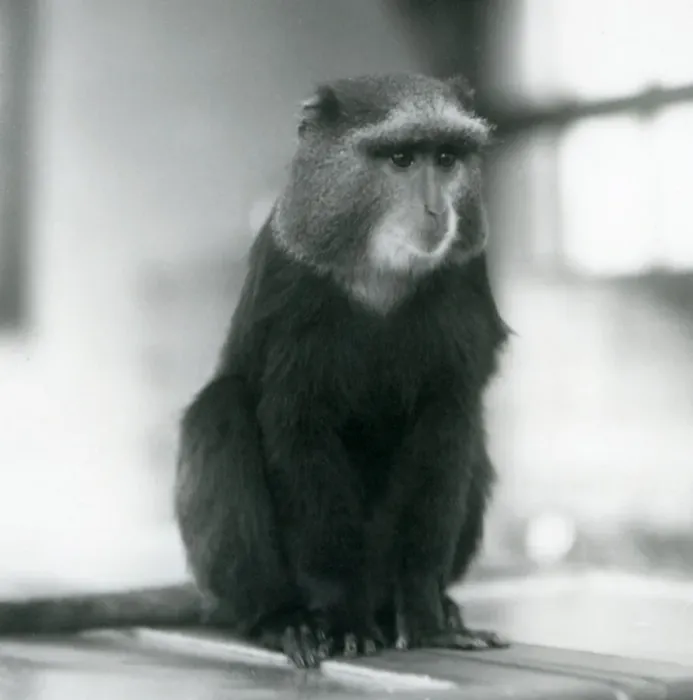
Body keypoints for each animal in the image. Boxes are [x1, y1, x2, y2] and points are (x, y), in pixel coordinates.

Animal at [0, 73, 510, 670]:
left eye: (447, 157)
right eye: (402, 158)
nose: (435, 212)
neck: (379, 274)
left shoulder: (463, 298)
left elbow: (447, 432)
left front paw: (427, 617)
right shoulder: (287, 299)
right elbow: (294, 429)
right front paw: (341, 618)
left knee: (475, 445)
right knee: (220, 411)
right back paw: (281, 618)